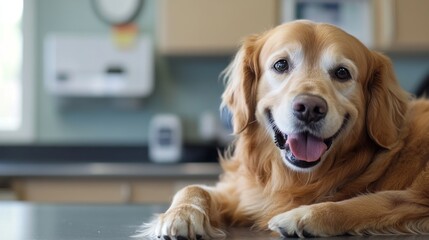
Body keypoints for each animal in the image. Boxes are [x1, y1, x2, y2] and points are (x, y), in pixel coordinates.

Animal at [140, 20, 428, 238]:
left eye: (342, 73)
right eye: (281, 65)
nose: (310, 108)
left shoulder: (412, 199)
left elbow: (376, 200)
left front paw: (303, 216)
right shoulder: (244, 197)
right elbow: (193, 188)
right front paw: (181, 215)